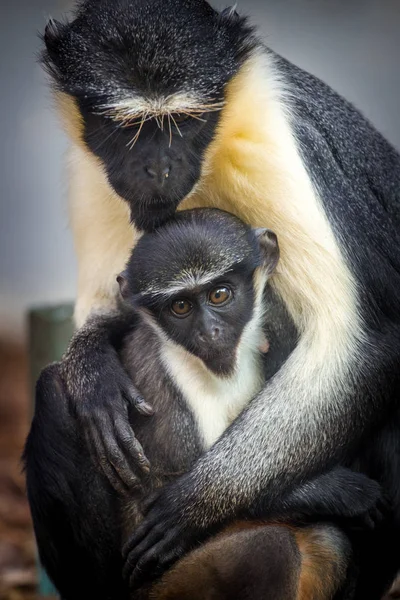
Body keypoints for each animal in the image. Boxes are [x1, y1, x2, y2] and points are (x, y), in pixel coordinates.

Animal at [39, 0, 400, 596]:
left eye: (184, 122)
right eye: (126, 128)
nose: (158, 169)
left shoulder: (277, 143)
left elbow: (353, 342)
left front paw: (193, 504)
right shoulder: (89, 166)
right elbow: (104, 314)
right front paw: (93, 370)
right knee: (52, 391)